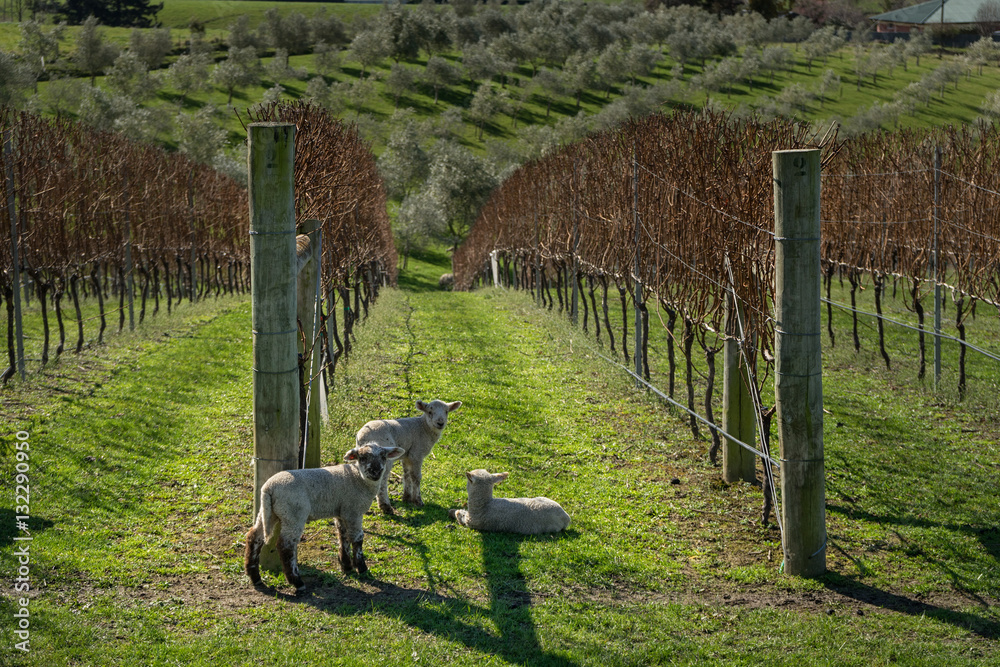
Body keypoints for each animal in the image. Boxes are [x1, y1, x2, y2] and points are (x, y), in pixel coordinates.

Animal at [244, 443, 404, 592]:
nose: (376, 471)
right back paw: (297, 582)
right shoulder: (353, 511)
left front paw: (347, 566)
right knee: (286, 545)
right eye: (362, 457)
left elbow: (343, 537)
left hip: (268, 512)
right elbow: (357, 539)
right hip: (294, 514)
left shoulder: (341, 512)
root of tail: (269, 488)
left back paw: (255, 577)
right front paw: (362, 568)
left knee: (254, 537)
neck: (358, 478)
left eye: (383, 456)